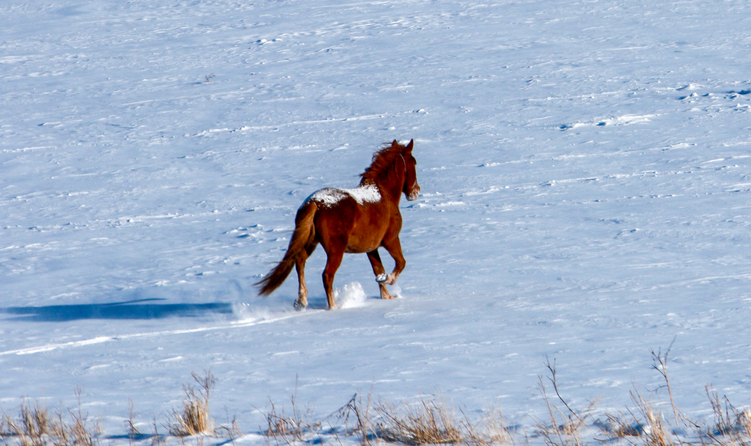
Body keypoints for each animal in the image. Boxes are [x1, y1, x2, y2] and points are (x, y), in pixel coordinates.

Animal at [258, 139, 424, 310]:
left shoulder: (371, 248)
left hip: (311, 242)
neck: (383, 194)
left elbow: (378, 269)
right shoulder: (391, 240)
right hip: (335, 250)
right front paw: (388, 279)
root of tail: (315, 203)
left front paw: (386, 295)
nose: (415, 192)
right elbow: (401, 263)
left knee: (300, 262)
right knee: (327, 274)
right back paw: (333, 307)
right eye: (414, 162)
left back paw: (301, 301)